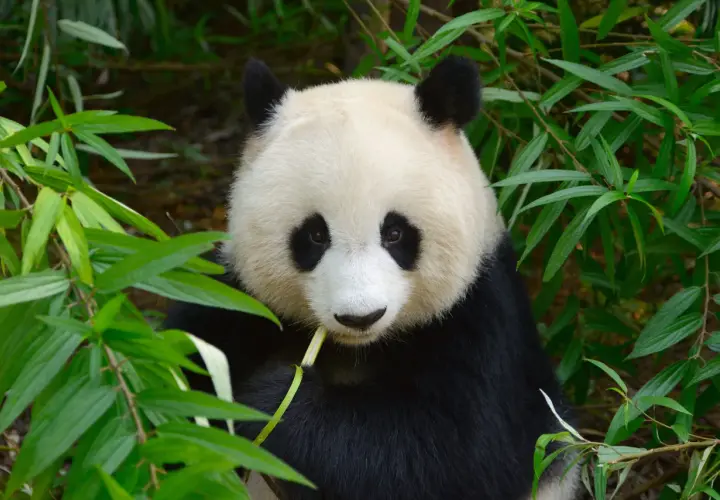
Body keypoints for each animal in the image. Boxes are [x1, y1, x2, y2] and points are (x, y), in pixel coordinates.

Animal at [163, 55, 581, 500]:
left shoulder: (481, 319)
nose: (360, 316)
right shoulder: (237, 299)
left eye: (395, 233)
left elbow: (452, 451)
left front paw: (274, 400)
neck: (356, 349)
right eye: (315, 235)